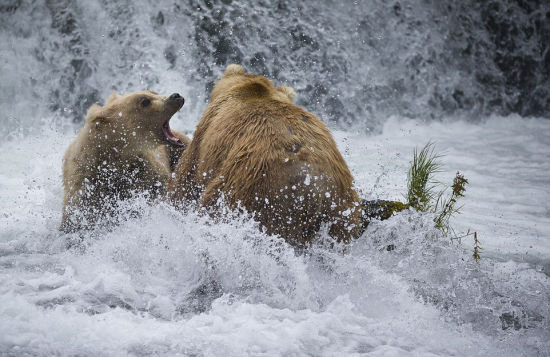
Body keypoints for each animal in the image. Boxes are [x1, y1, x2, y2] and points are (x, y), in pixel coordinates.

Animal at [170, 64, 364, 245]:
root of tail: (313, 185)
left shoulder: (203, 137)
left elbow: (185, 181)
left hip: (252, 185)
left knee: (217, 206)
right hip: (341, 211)